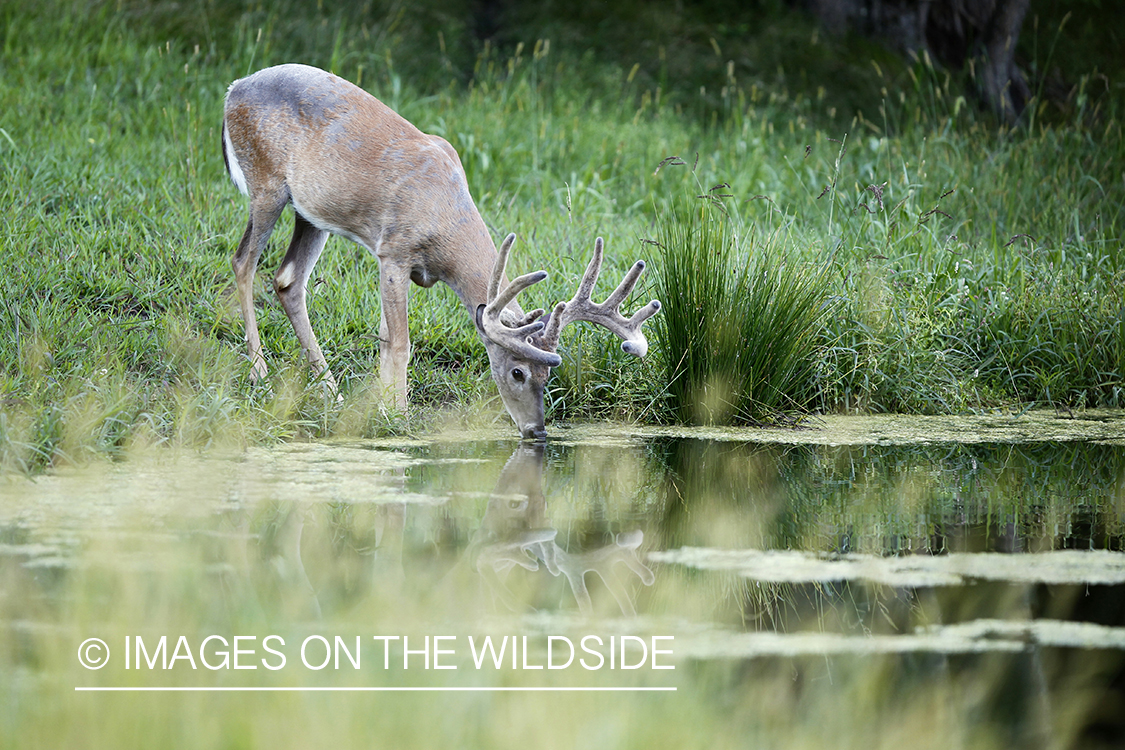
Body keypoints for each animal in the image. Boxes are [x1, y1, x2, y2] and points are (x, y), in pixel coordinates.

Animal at [220, 66, 657, 440]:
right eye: (517, 372)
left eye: (547, 376)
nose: (537, 430)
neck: (444, 224)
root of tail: (233, 89)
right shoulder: (393, 251)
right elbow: (400, 343)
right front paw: (398, 417)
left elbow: (384, 338)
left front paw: (383, 407)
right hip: (266, 183)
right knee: (244, 262)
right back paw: (260, 374)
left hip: (310, 213)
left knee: (288, 279)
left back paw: (333, 392)